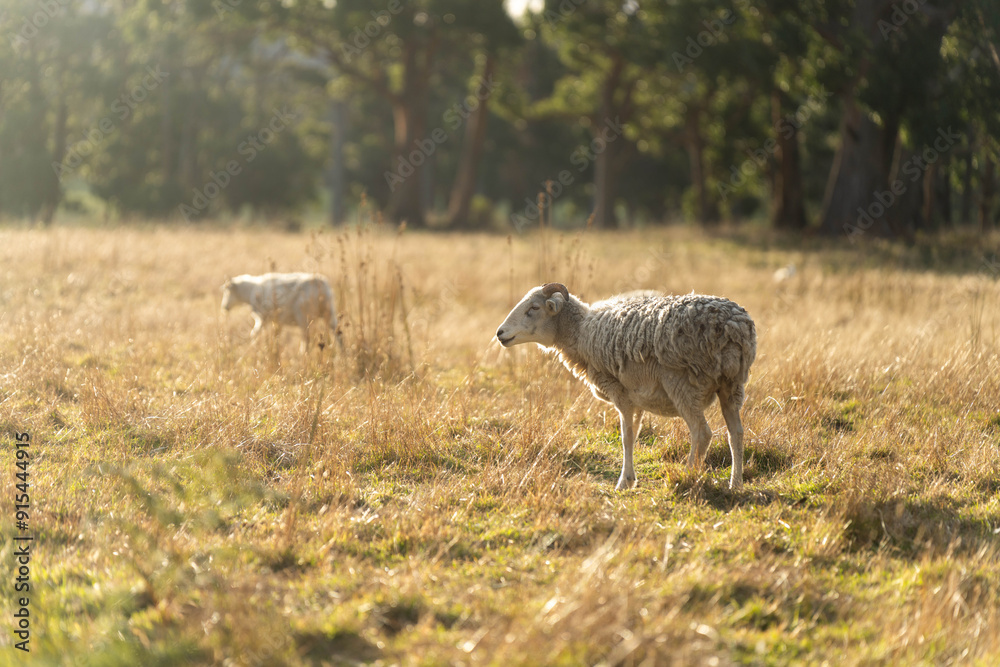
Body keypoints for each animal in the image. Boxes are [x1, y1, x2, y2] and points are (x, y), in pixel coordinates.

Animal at [496, 282, 756, 491]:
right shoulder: (637, 398)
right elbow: (635, 433)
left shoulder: (620, 393)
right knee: (736, 433)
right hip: (732, 386)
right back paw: (735, 484)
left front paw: (624, 482)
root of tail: (734, 328)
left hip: (682, 384)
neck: (581, 333)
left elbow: (626, 437)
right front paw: (630, 479)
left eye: (534, 308)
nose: (500, 333)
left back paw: (687, 476)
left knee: (702, 433)